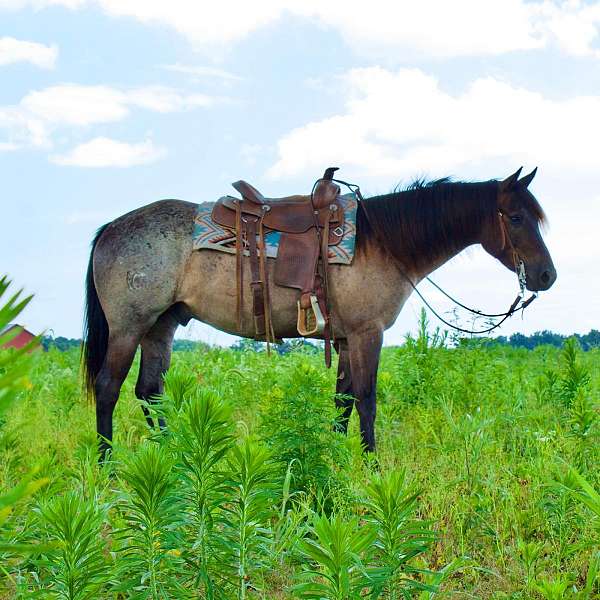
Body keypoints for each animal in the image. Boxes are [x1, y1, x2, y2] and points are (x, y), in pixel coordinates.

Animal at [83, 166, 556, 458]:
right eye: (516, 217)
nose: (546, 275)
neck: (383, 242)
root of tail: (110, 228)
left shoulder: (345, 338)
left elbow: (343, 399)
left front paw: (334, 457)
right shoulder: (367, 334)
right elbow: (366, 399)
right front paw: (372, 466)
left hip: (161, 326)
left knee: (150, 391)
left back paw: (173, 455)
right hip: (129, 327)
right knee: (109, 388)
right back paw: (109, 465)